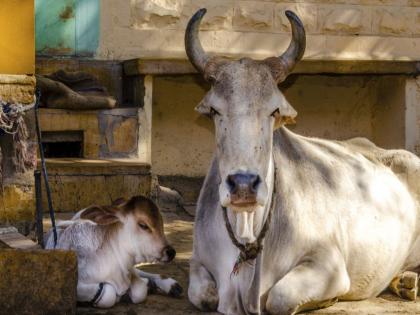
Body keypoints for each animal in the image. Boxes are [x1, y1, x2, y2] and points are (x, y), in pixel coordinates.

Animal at [44, 195, 182, 308]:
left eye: (161, 222)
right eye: (143, 225)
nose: (170, 252)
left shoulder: (128, 270)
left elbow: (140, 290)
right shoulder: (74, 285)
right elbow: (108, 294)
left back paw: (171, 285)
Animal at [185, 8, 420, 315]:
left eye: (274, 110)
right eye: (214, 110)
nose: (243, 185)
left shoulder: (328, 264)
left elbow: (280, 298)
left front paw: (328, 300)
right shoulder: (198, 261)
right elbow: (204, 294)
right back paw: (404, 282)